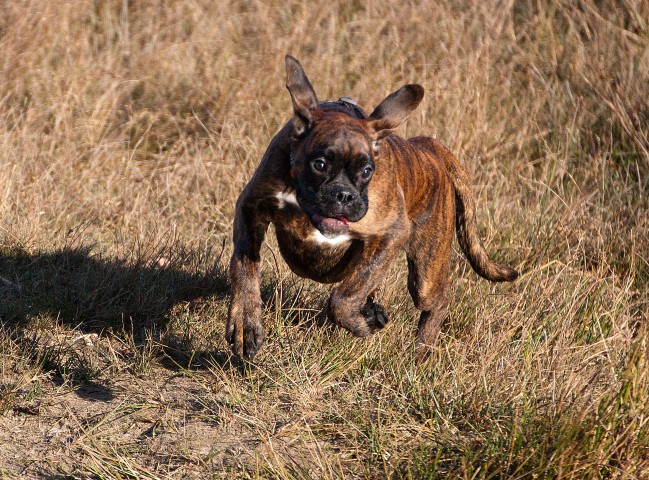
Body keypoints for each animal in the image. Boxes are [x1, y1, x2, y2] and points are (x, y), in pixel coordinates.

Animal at [225, 55, 520, 360]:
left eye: (367, 171)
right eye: (320, 164)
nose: (344, 195)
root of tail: (428, 148)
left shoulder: (390, 234)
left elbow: (343, 298)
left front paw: (360, 323)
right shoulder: (250, 209)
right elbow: (244, 268)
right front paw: (246, 323)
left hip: (426, 273)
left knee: (435, 303)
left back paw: (420, 351)